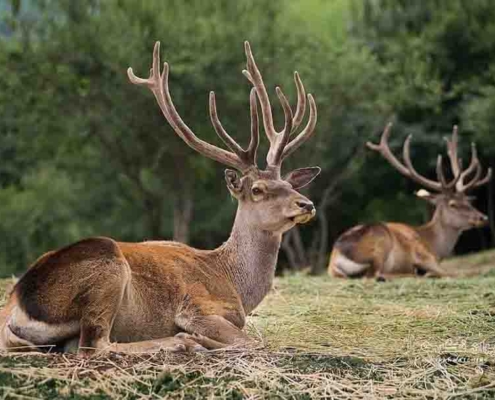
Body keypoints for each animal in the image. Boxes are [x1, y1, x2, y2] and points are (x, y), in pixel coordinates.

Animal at [0, 41, 322, 354]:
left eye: (289, 184)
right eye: (257, 190)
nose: (307, 204)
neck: (235, 284)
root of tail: (15, 306)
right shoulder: (197, 307)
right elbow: (254, 342)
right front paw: (197, 338)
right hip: (106, 269)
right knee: (93, 346)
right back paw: (184, 342)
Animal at [330, 123, 492, 280]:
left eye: (468, 201)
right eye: (452, 204)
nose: (483, 218)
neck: (433, 245)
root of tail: (336, 257)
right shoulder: (422, 253)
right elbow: (457, 272)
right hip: (380, 242)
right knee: (374, 274)